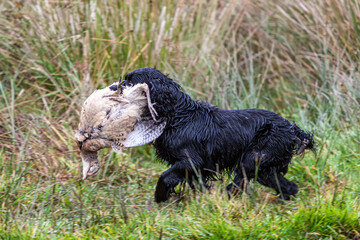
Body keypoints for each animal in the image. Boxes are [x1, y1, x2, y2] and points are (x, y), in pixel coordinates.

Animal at [119, 67, 314, 202]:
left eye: (130, 82)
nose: (116, 86)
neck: (177, 116)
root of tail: (292, 128)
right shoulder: (194, 169)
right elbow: (197, 184)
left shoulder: (190, 161)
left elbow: (164, 177)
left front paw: (160, 197)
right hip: (264, 168)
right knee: (289, 187)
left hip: (253, 158)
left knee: (240, 182)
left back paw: (226, 196)